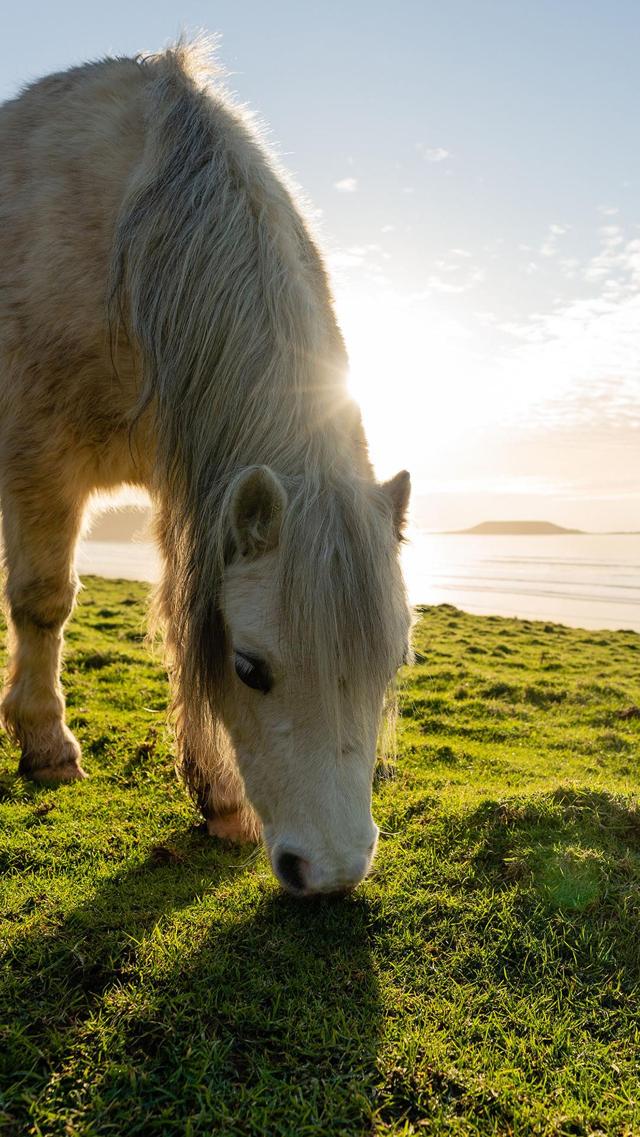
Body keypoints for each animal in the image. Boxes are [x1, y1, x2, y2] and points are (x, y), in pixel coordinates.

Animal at [0, 42, 411, 895]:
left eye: (391, 662)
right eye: (251, 668)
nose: (332, 871)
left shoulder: (189, 485)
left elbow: (179, 613)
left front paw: (218, 795)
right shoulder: (38, 462)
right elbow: (44, 601)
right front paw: (47, 745)